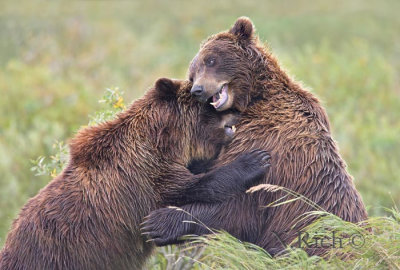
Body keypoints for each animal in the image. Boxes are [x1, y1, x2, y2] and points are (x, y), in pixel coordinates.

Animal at [0, 76, 270, 270]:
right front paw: (254, 160)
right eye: (211, 102)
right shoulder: (142, 176)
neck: (165, 141)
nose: (238, 111)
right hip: (54, 256)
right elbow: (192, 187)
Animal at [142, 17, 368, 255]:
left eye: (211, 59)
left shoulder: (270, 146)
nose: (198, 90)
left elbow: (239, 208)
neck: (254, 99)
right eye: (192, 74)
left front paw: (160, 223)